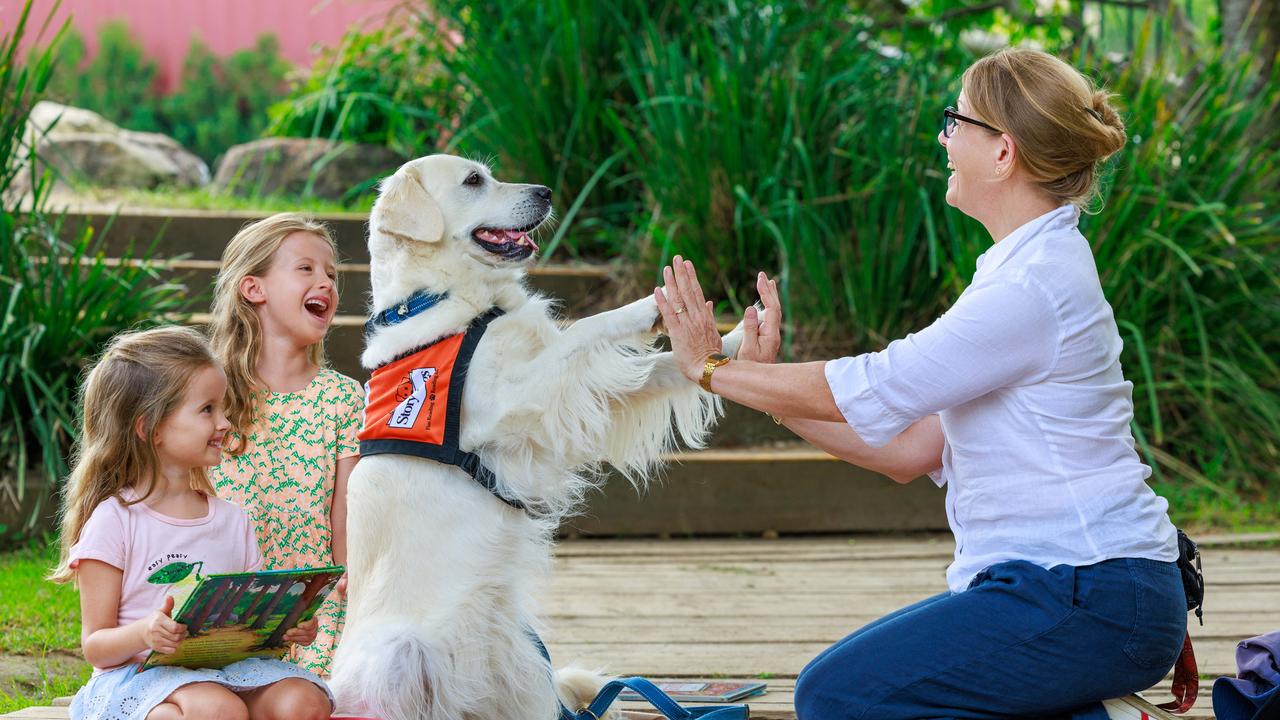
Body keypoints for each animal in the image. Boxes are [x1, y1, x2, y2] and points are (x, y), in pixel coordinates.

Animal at [330, 152, 747, 717]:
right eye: (473, 181)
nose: (547, 192)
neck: (446, 299)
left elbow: (662, 367)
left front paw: (741, 335)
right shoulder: (513, 397)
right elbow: (586, 328)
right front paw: (649, 307)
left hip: (520, 655)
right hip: (401, 655)